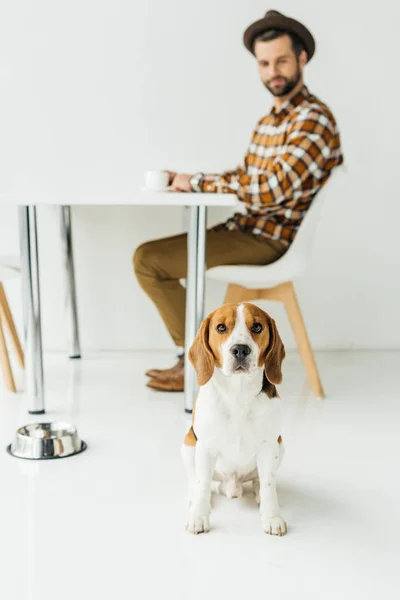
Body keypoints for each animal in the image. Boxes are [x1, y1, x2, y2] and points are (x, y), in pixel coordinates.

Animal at [181, 302, 288, 536]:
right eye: (221, 327)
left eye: (257, 327)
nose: (240, 349)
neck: (238, 393)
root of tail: (232, 484)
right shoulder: (205, 447)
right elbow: (203, 484)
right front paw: (198, 516)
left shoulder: (269, 446)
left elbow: (269, 485)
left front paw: (272, 517)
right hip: (188, 444)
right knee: (195, 479)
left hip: (280, 445)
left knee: (259, 480)